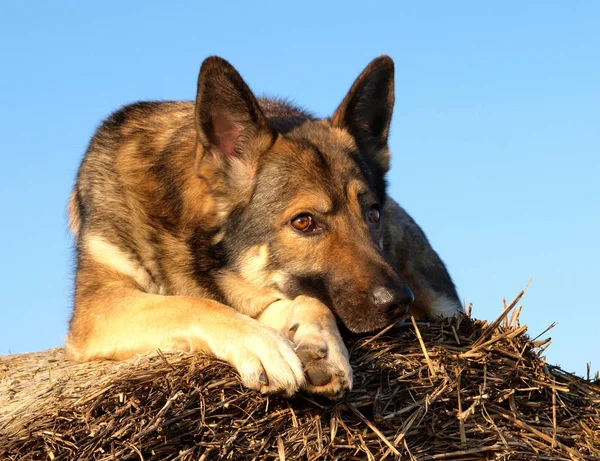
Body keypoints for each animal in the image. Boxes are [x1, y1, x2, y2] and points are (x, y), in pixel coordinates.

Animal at [65, 56, 462, 396]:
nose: (399, 303)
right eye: (303, 222)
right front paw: (263, 343)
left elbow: (306, 301)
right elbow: (190, 304)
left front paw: (320, 342)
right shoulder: (99, 307)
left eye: (373, 215)